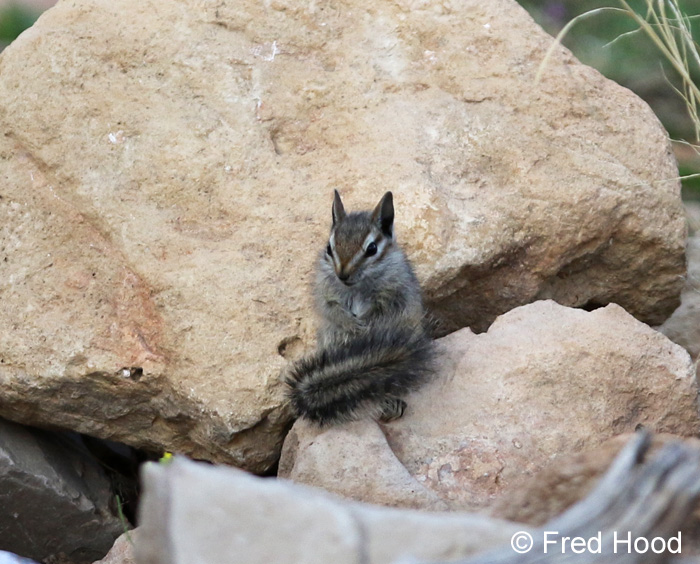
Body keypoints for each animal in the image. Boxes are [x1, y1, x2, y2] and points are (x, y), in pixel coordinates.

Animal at [286, 190, 435, 425]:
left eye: (372, 249)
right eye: (329, 248)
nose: (342, 274)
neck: (356, 286)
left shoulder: (394, 292)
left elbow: (382, 308)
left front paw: (364, 324)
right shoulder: (324, 290)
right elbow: (330, 309)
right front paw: (352, 324)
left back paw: (393, 404)